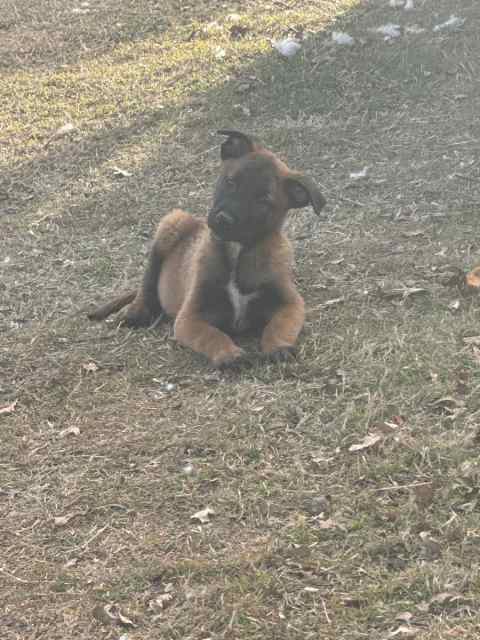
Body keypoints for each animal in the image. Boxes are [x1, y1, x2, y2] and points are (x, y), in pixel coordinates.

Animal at [87, 130, 324, 368]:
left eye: (263, 200)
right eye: (230, 182)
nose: (223, 219)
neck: (236, 250)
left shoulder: (291, 303)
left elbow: (280, 325)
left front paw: (278, 347)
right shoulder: (189, 317)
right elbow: (212, 335)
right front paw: (229, 354)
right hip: (171, 224)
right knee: (147, 284)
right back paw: (136, 312)